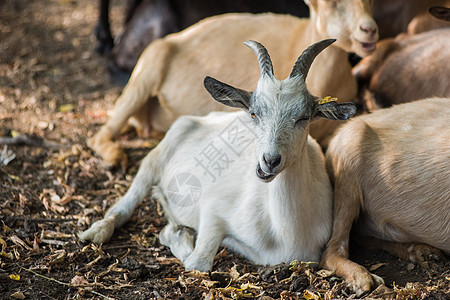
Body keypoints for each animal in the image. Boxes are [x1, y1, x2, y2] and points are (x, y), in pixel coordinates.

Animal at [79, 38, 356, 270]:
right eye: (254, 113)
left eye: (303, 117)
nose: (269, 161)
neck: (284, 233)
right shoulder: (213, 209)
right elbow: (198, 263)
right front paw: (175, 233)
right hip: (156, 158)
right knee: (127, 202)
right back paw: (95, 232)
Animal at [89, 0, 378, 170]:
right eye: (331, 4)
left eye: (368, 2)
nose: (369, 29)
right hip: (144, 75)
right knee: (100, 133)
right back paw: (115, 159)